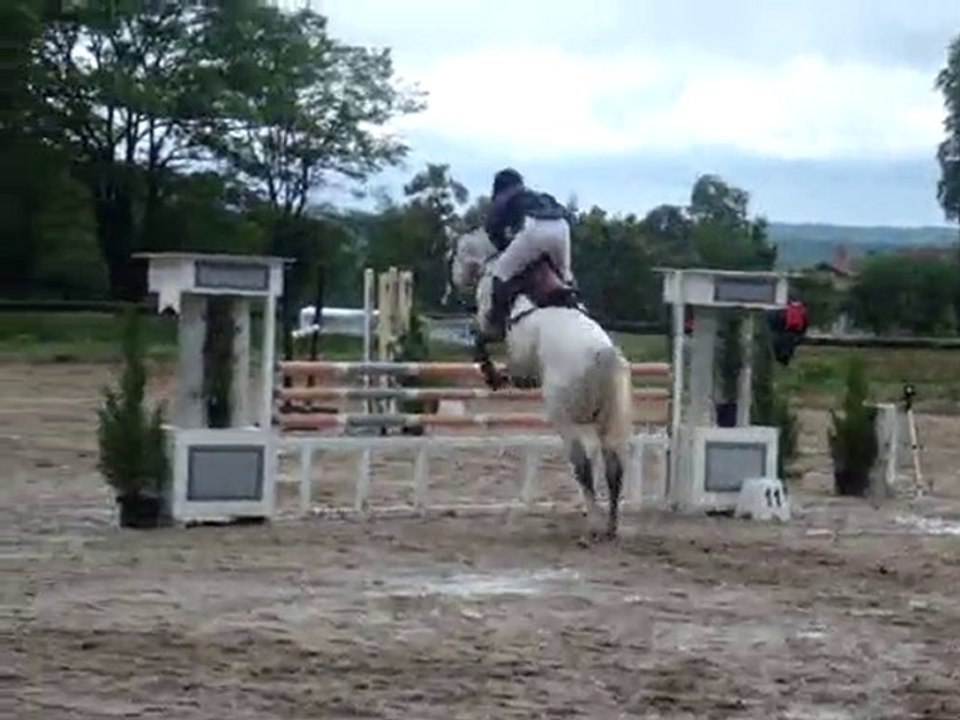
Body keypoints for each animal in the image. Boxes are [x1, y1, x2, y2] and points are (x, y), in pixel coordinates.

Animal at [446, 227, 635, 542]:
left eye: (456, 255)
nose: (455, 284)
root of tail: (603, 356)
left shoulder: (491, 325)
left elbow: (479, 336)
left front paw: (492, 373)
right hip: (610, 421)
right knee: (614, 468)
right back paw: (610, 526)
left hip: (562, 417)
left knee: (582, 466)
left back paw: (594, 524)